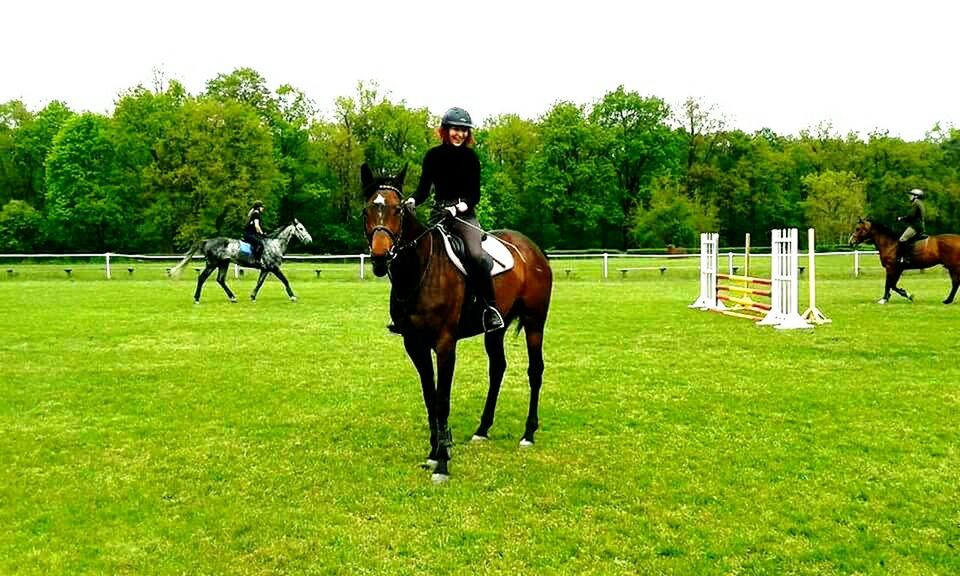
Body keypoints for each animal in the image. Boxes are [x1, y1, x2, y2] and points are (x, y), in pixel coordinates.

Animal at [168, 218, 312, 304]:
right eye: (300, 228)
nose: (309, 241)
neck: (275, 244)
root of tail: (207, 241)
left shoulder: (265, 269)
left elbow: (259, 283)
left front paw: (252, 297)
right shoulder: (273, 267)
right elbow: (285, 280)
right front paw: (293, 296)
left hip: (223, 264)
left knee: (220, 280)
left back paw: (233, 298)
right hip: (212, 264)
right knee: (202, 278)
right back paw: (197, 299)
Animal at [362, 164, 556, 484]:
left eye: (398, 210)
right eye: (367, 210)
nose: (380, 257)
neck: (421, 269)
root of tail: (533, 249)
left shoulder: (444, 344)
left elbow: (442, 399)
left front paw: (442, 462)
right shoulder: (414, 344)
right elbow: (430, 397)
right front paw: (435, 451)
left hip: (534, 322)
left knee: (535, 370)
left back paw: (528, 433)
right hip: (496, 329)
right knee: (497, 368)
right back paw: (482, 429)